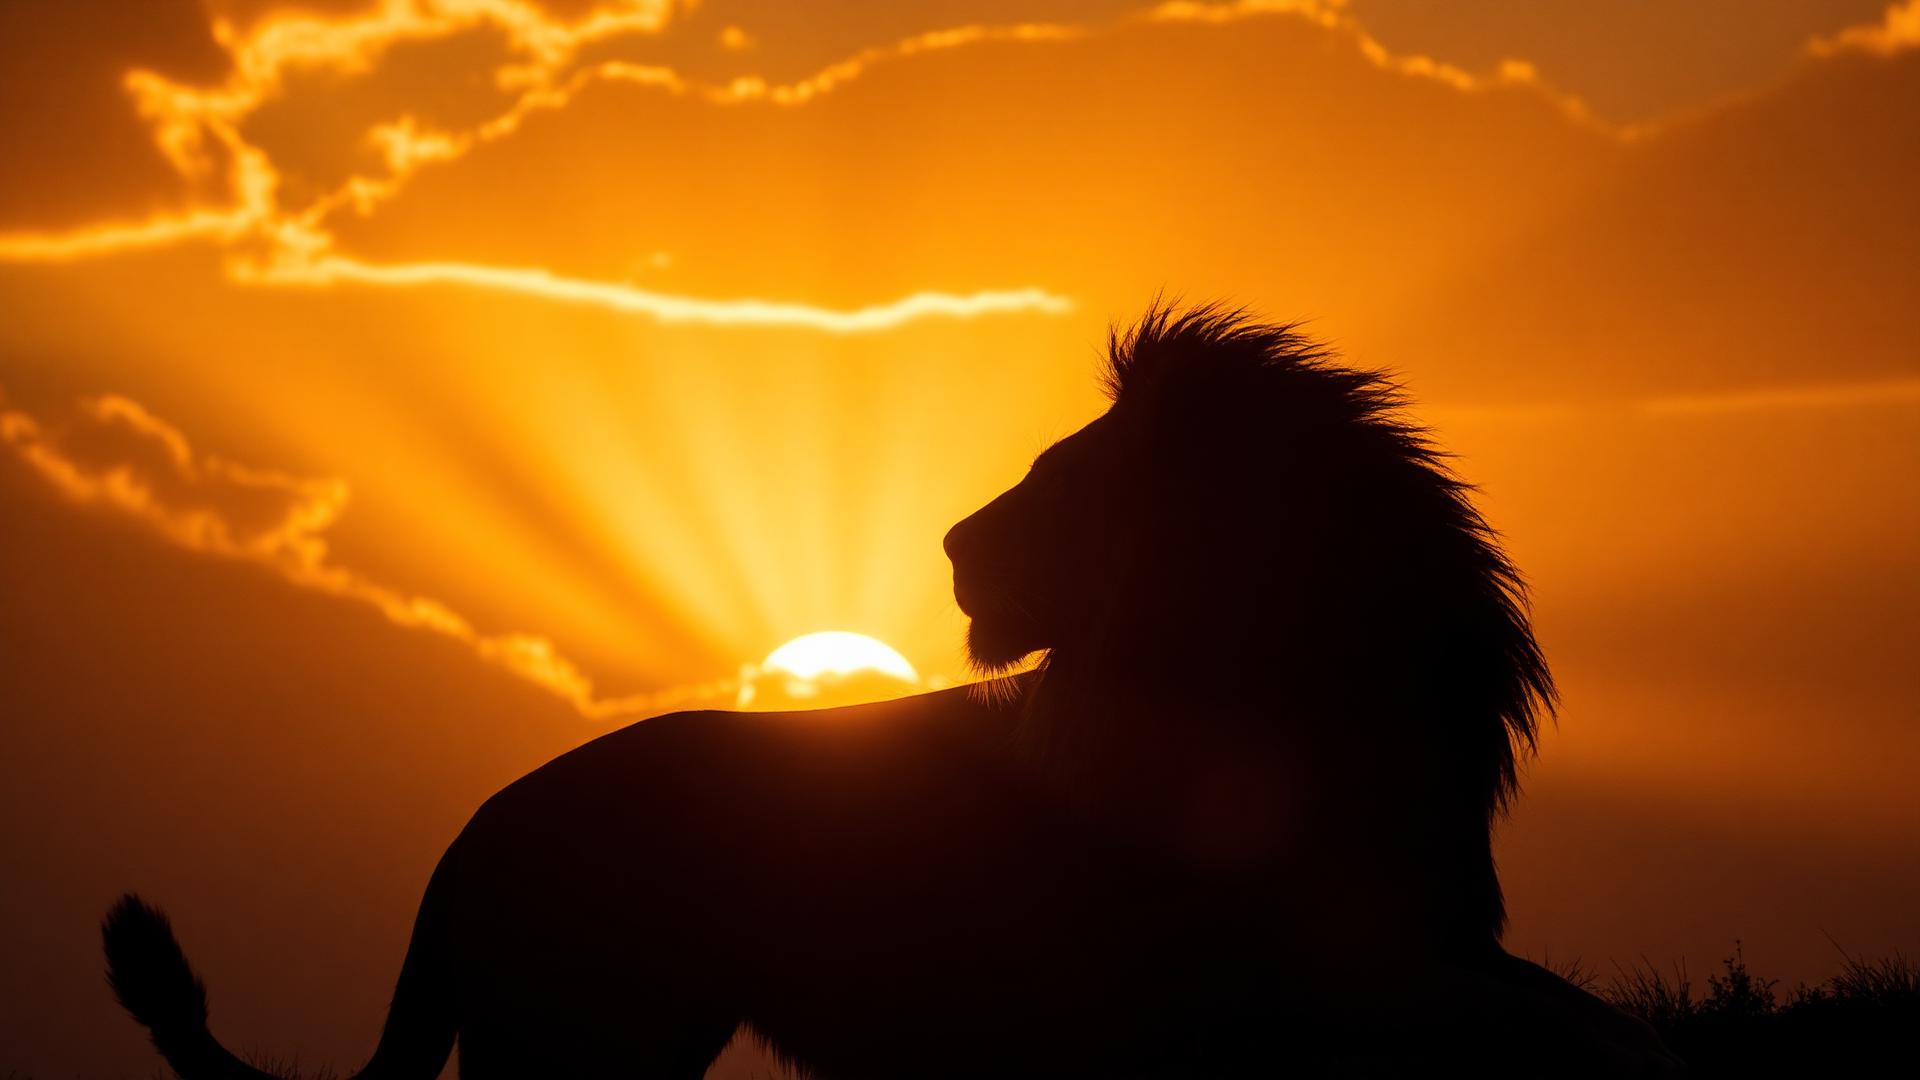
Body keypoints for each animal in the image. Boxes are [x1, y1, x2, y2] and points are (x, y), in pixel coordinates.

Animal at [102, 304, 1680, 1077]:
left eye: (1064, 483)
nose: (950, 543)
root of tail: (470, 837)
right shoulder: (1270, 985)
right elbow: (1558, 1032)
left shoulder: (1413, 954)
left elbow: (1581, 1016)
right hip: (585, 1038)